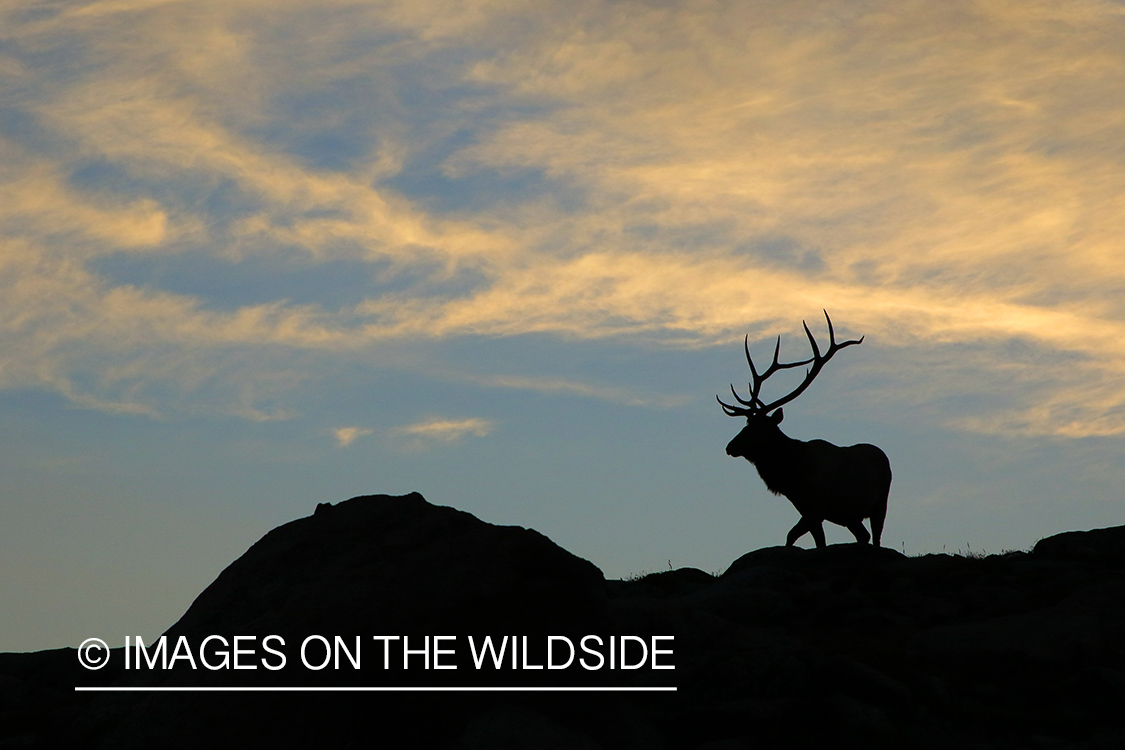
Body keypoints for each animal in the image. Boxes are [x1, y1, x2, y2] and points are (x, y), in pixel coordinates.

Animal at [724, 312, 891, 550]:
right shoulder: (806, 508)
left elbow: (799, 538)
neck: (792, 474)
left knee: (875, 537)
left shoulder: (815, 508)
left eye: (758, 429)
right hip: (850, 515)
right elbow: (804, 539)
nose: (730, 446)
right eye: (746, 424)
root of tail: (885, 458)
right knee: (863, 535)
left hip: (879, 504)